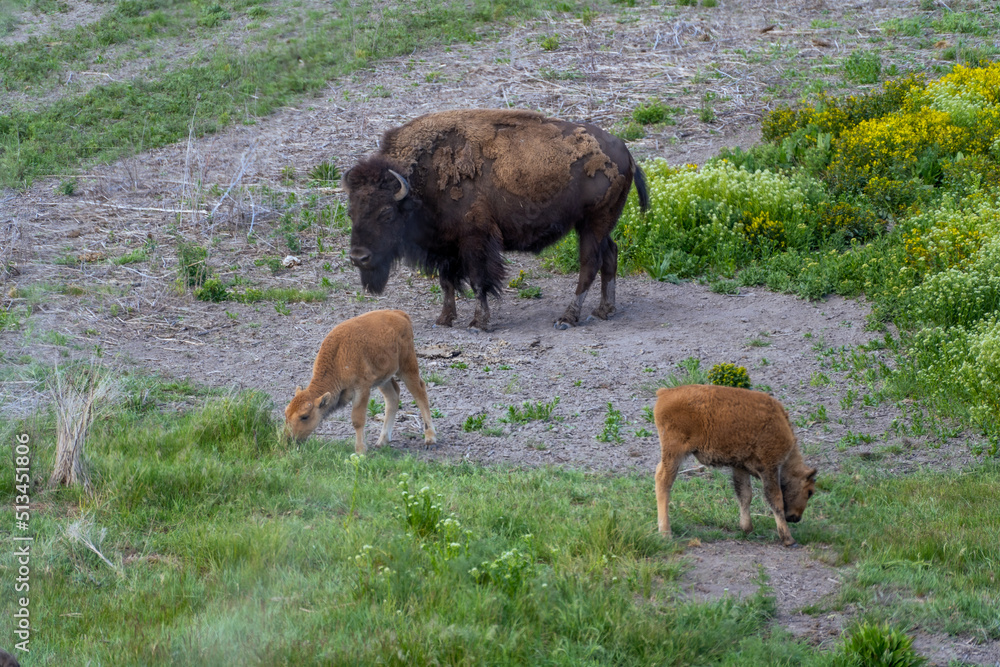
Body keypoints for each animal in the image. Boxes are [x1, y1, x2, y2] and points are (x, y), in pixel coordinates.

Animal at [284, 310, 436, 453]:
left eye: (304, 416)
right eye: (286, 413)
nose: (288, 439)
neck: (337, 358)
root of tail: (400, 314)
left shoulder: (361, 389)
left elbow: (357, 420)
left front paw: (360, 451)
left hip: (407, 366)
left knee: (420, 392)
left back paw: (430, 439)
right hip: (383, 378)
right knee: (392, 396)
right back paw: (382, 441)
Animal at [344, 109, 649, 331]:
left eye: (386, 213)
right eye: (351, 211)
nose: (359, 258)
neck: (420, 182)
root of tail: (627, 153)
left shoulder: (475, 239)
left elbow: (479, 280)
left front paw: (479, 323)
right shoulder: (446, 245)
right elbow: (447, 282)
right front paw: (444, 319)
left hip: (592, 225)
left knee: (589, 264)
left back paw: (567, 318)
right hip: (598, 225)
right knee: (610, 254)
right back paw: (603, 310)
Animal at [653, 385, 818, 547]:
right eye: (810, 492)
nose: (796, 518)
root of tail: (665, 393)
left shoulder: (740, 467)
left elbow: (745, 495)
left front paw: (747, 529)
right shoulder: (769, 467)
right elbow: (775, 500)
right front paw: (789, 539)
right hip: (675, 452)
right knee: (663, 481)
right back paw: (666, 534)